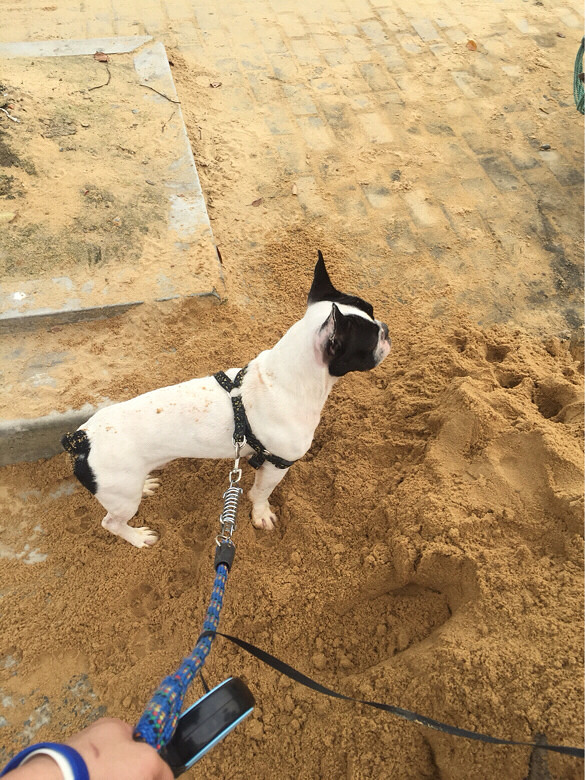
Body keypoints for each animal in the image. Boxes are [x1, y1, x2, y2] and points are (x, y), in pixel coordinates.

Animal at [61, 253, 390, 544]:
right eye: (370, 340)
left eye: (371, 308)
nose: (386, 329)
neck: (285, 377)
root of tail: (82, 439)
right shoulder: (277, 465)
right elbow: (260, 493)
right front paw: (261, 515)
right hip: (121, 495)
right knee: (111, 522)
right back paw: (138, 537)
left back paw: (147, 485)